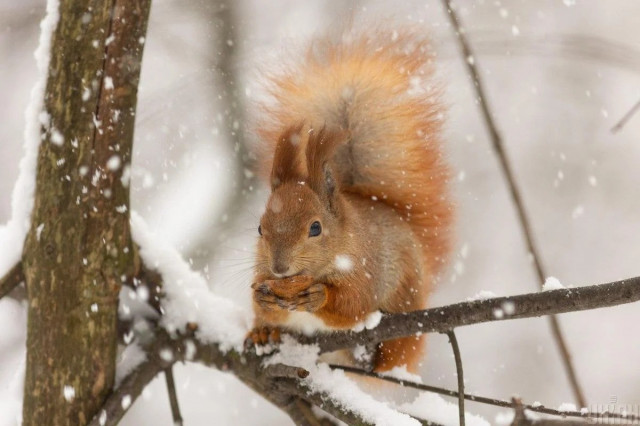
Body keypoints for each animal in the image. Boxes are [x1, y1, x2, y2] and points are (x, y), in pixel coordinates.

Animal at [248, 30, 452, 372]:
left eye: (315, 228)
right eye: (260, 229)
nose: (278, 267)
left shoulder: (365, 270)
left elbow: (353, 305)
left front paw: (319, 297)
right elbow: (263, 303)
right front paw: (263, 304)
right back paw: (263, 333)